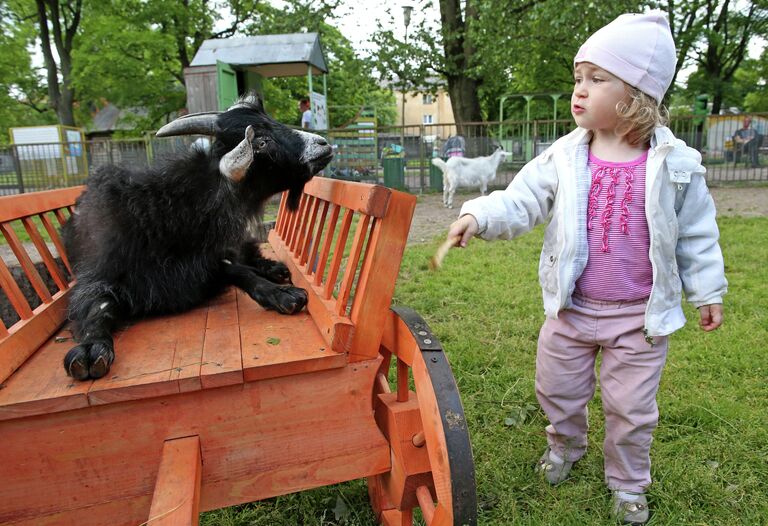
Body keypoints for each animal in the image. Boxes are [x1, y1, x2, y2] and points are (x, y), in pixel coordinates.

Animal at [61, 95, 332, 382]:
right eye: (261, 141)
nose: (322, 144)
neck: (165, 213)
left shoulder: (207, 263)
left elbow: (238, 271)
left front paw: (282, 293)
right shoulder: (96, 277)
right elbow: (97, 307)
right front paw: (89, 349)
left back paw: (274, 269)